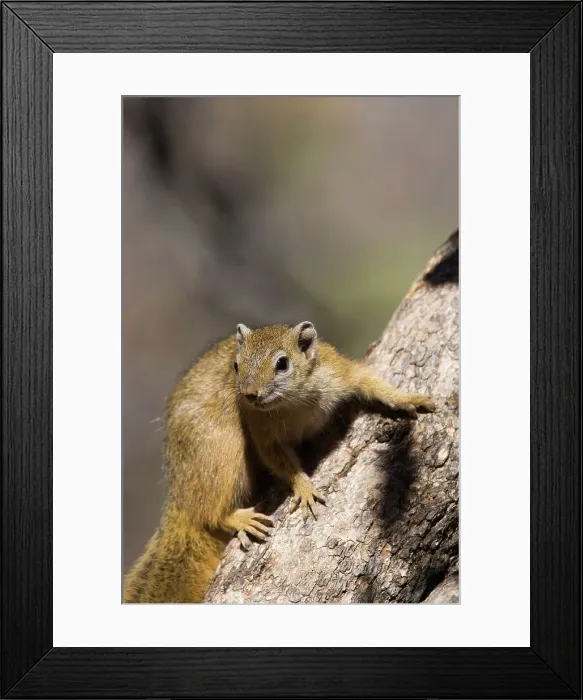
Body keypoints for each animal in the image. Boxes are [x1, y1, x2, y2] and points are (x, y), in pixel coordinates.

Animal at [123, 322, 435, 603]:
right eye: (236, 366)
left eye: (282, 364)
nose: (249, 393)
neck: (293, 401)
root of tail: (180, 495)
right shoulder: (261, 428)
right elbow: (279, 460)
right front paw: (304, 488)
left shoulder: (338, 372)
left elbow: (369, 379)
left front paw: (408, 398)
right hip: (221, 455)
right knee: (210, 514)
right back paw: (238, 518)